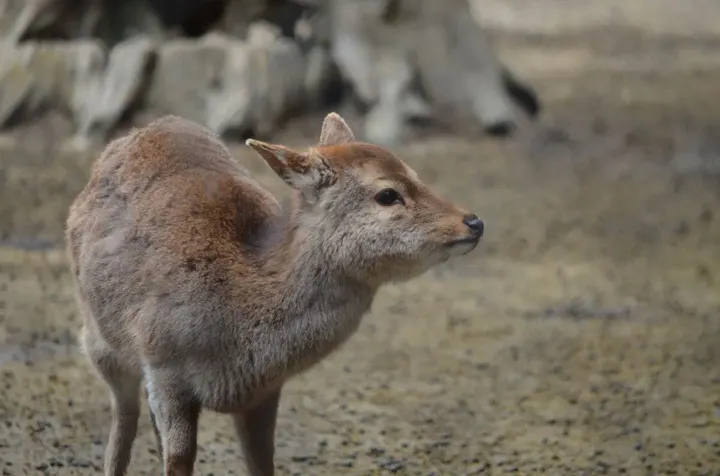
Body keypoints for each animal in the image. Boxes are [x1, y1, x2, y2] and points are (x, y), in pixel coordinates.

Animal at [66, 112, 485, 476]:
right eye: (387, 194)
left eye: (415, 174)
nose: (474, 221)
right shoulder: (163, 366)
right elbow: (178, 461)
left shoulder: (265, 391)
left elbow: (263, 461)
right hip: (99, 343)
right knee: (123, 419)